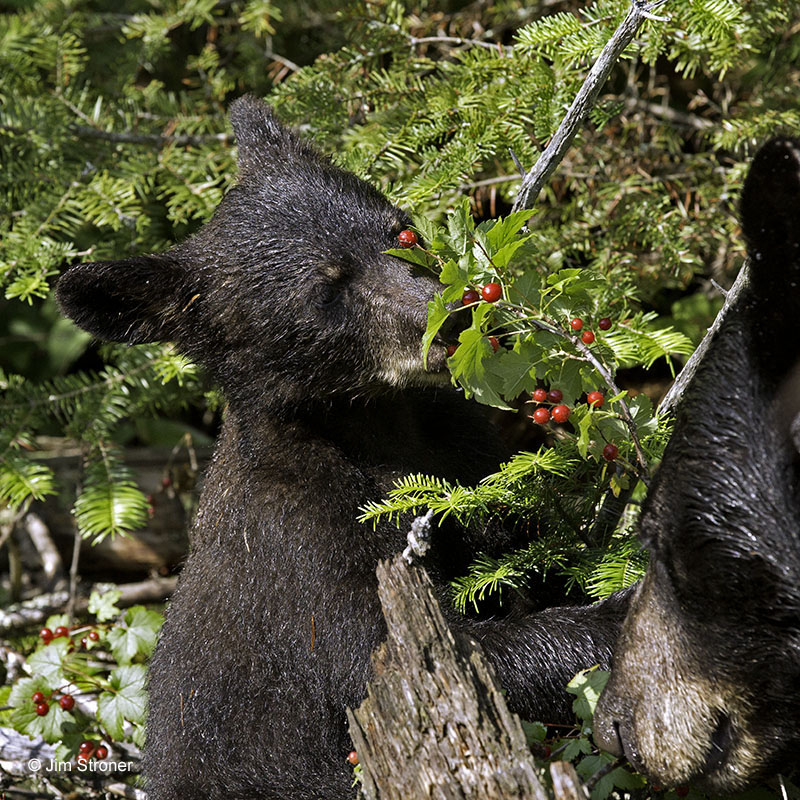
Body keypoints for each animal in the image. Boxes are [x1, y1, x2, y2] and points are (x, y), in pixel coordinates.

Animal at [59, 98, 628, 800]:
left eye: (402, 231)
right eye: (327, 290)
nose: (451, 316)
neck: (378, 424)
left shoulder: (463, 445)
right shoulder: (302, 543)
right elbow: (405, 658)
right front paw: (612, 622)